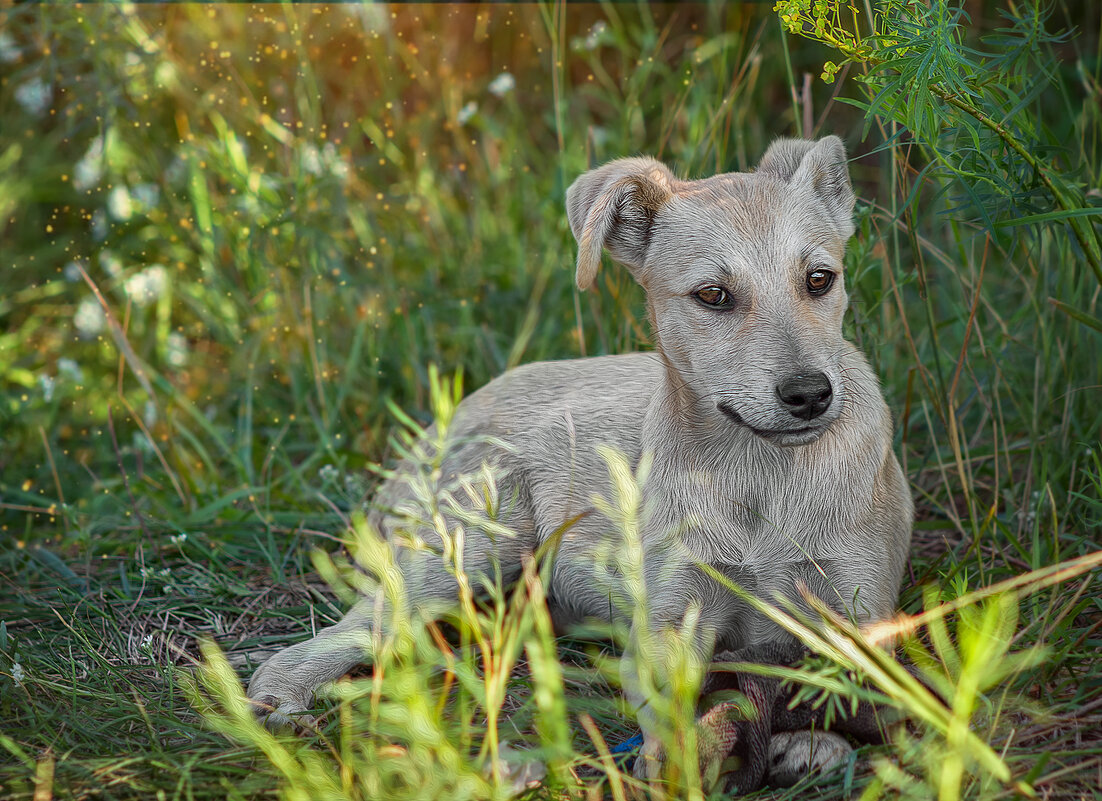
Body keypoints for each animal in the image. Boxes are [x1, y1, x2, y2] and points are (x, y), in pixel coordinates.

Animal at [247, 137, 912, 788]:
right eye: (713, 296)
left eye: (820, 280)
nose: (810, 394)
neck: (759, 476)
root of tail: (436, 430)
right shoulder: (667, 628)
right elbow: (678, 718)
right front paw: (685, 760)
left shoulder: (861, 616)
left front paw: (809, 741)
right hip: (470, 549)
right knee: (327, 642)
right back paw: (277, 709)